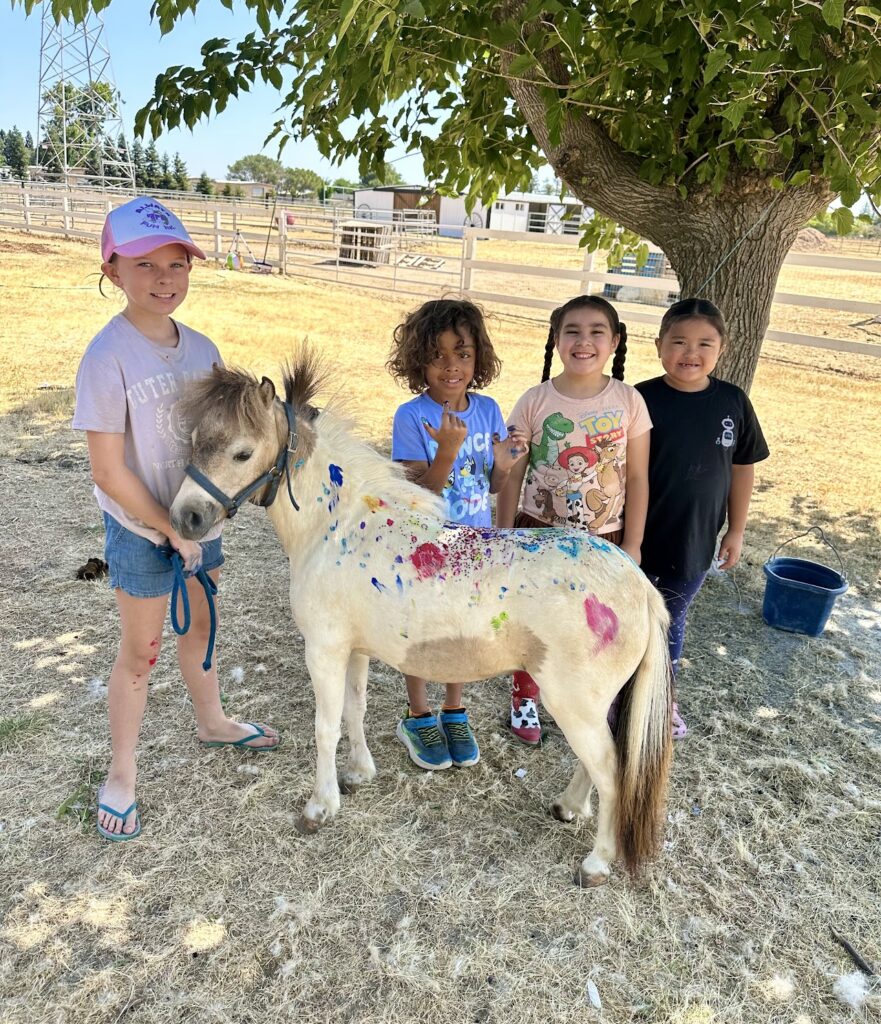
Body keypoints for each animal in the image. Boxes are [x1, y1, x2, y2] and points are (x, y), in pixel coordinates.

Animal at [170, 354, 673, 886]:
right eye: (196, 440)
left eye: (242, 453)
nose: (185, 518)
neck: (337, 527)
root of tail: (641, 587)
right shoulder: (353, 650)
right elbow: (353, 711)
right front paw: (358, 774)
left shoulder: (324, 649)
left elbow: (325, 726)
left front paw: (320, 807)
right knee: (595, 763)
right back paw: (568, 807)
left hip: (572, 702)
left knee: (610, 770)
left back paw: (597, 862)